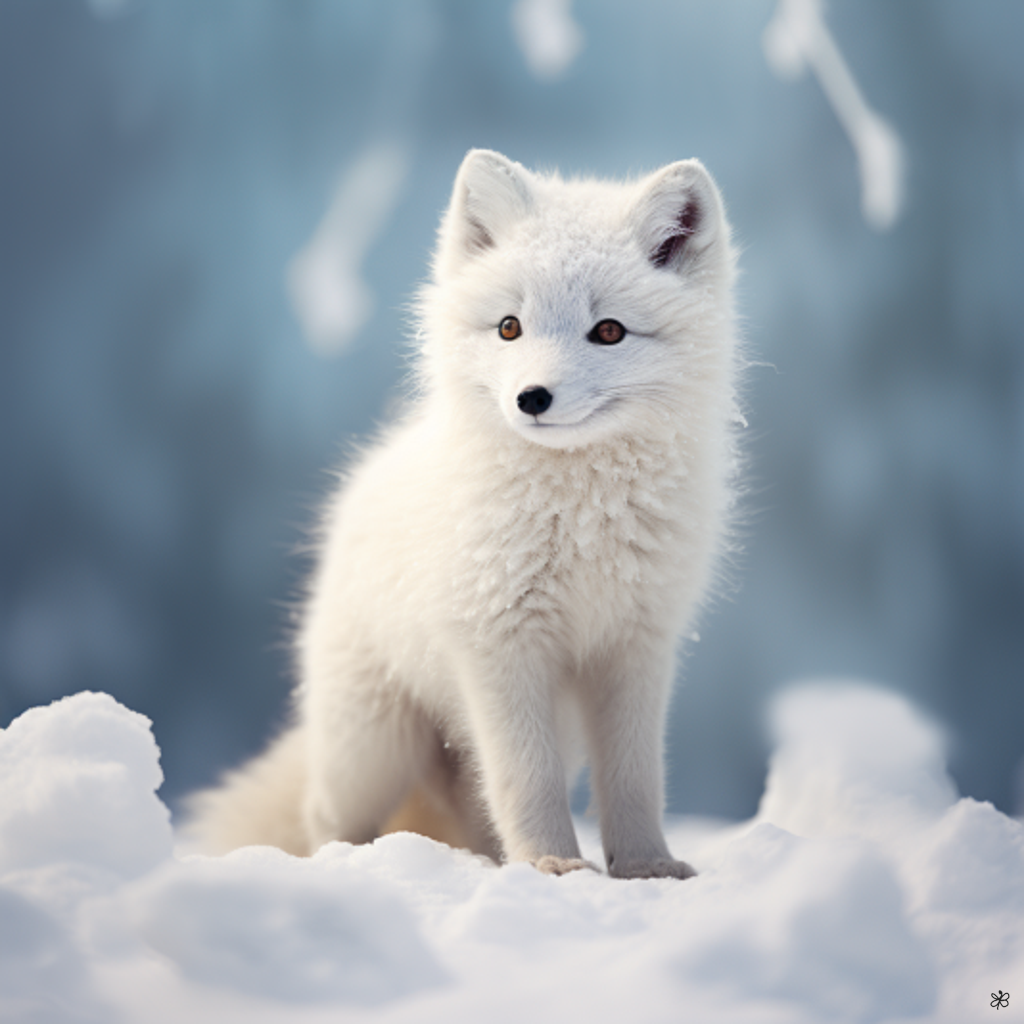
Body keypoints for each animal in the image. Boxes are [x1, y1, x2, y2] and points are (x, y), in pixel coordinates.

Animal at [186, 149, 742, 878]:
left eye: (609, 331)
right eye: (509, 326)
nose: (532, 397)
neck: (579, 521)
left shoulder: (636, 648)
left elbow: (635, 778)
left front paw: (645, 867)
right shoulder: (499, 646)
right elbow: (526, 779)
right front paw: (553, 865)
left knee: (473, 809)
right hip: (372, 746)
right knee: (327, 816)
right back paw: (355, 864)